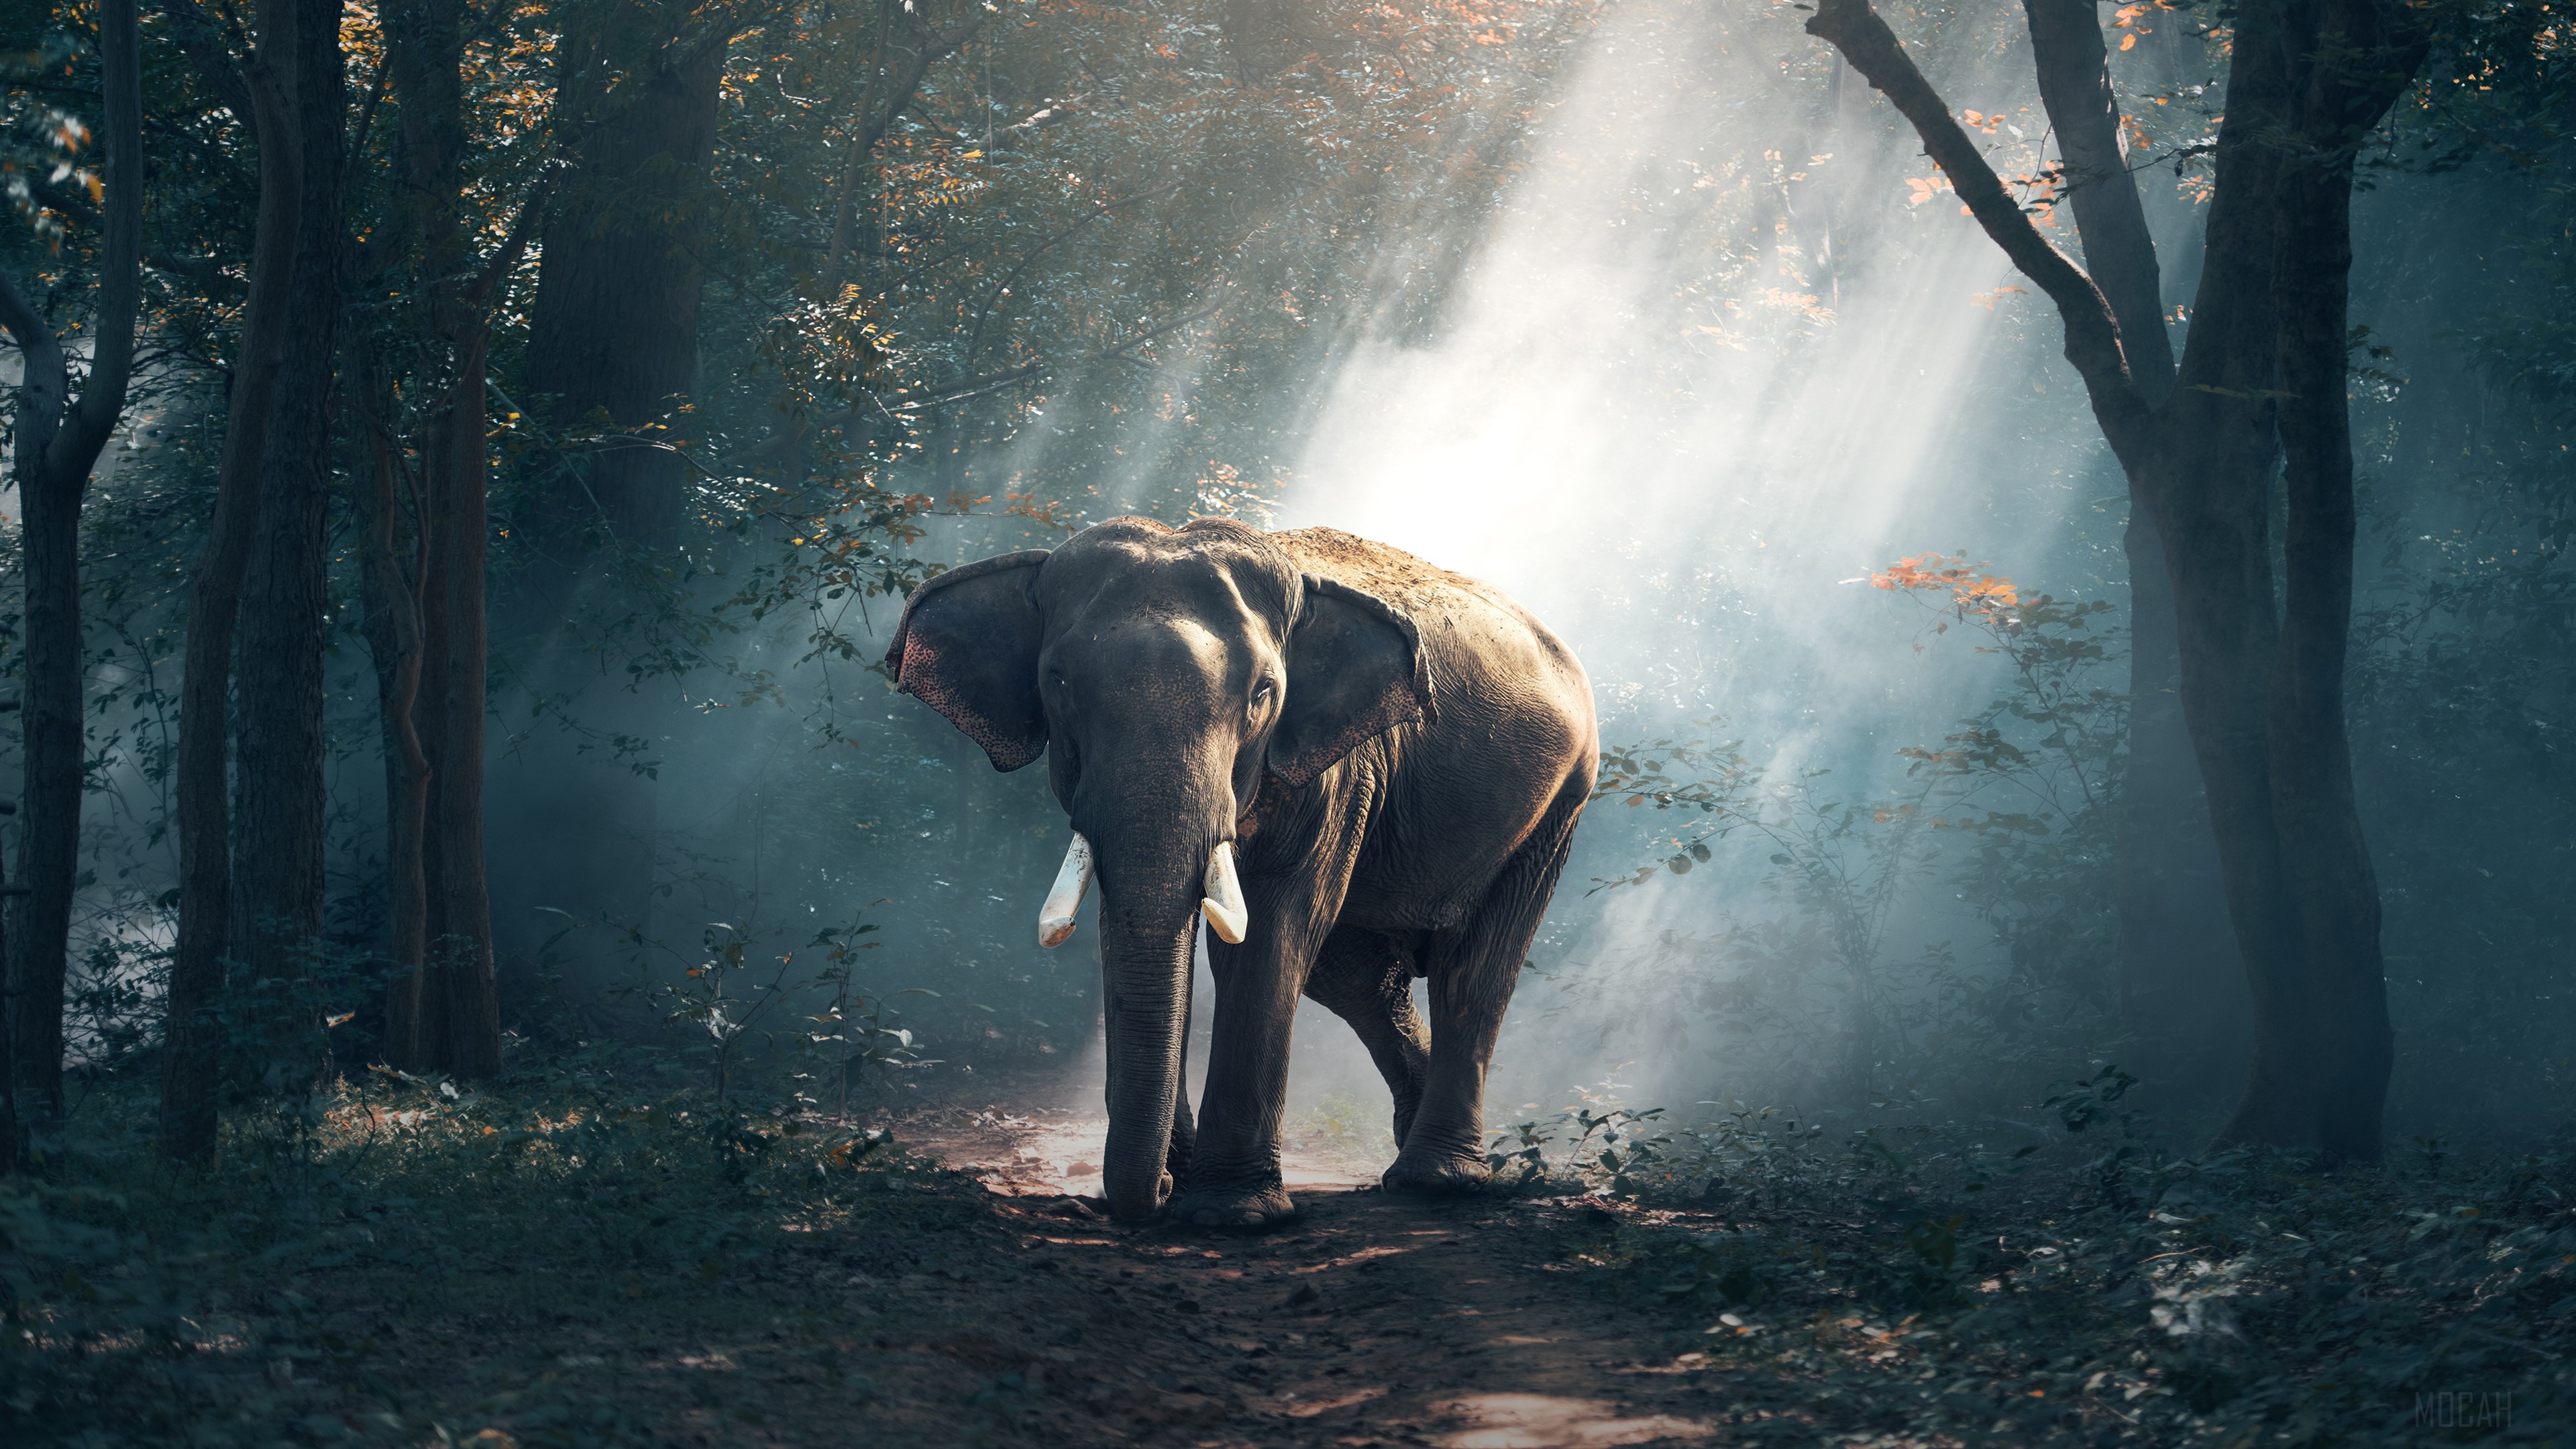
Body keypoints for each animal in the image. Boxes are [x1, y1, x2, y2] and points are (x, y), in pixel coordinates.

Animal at [885, 516, 1597, 1224]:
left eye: (1264, 693)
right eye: (1057, 681)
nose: (1160, 1190)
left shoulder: (1339, 770)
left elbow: (1270, 935)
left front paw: (1233, 1213)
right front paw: (1187, 1184)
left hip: (1559, 806)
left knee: (1471, 972)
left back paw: (1436, 1181)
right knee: (1360, 979)